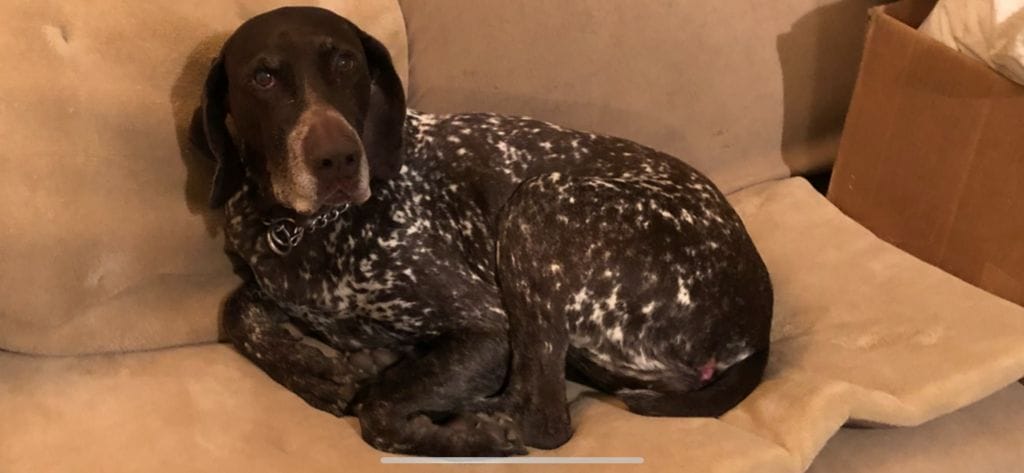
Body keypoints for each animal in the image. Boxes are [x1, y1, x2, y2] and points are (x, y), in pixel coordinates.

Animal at [193, 6, 773, 457]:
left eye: (345, 63)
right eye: (263, 79)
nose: (338, 159)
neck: (305, 231)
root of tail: (757, 323)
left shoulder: (487, 325)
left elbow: (379, 411)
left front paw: (451, 429)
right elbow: (236, 310)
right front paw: (313, 372)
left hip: (539, 202)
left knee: (546, 420)